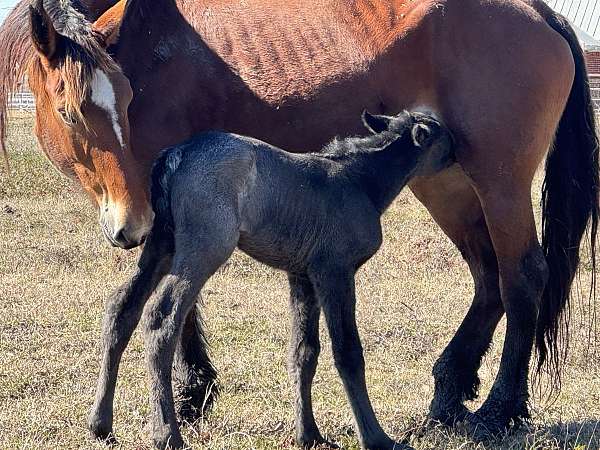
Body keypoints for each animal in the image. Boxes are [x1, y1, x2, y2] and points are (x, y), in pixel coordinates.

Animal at [97, 110, 454, 450]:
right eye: (443, 135)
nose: (459, 150)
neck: (359, 182)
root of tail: (177, 153)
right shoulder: (334, 272)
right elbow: (347, 352)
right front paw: (376, 438)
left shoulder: (302, 277)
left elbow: (303, 352)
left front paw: (309, 435)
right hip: (204, 246)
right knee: (163, 316)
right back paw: (167, 435)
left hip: (161, 243)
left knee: (122, 307)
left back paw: (101, 425)